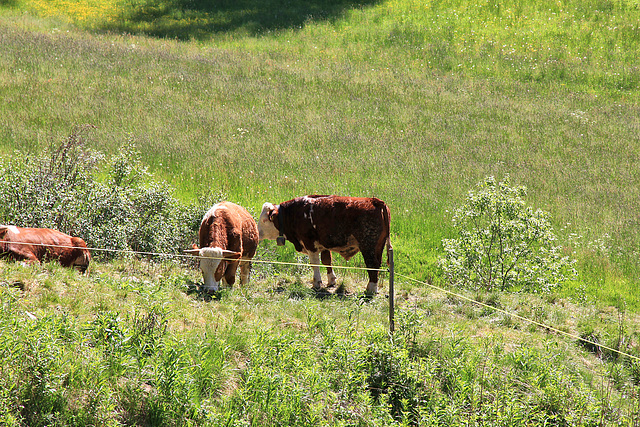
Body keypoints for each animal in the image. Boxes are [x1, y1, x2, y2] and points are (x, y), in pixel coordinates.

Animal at [258, 196, 390, 296]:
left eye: (264, 220)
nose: (257, 233)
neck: (294, 213)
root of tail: (374, 200)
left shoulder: (310, 243)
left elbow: (315, 263)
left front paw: (317, 283)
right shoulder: (323, 244)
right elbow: (327, 261)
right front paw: (331, 281)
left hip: (368, 246)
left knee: (372, 264)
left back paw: (371, 289)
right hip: (378, 246)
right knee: (377, 265)